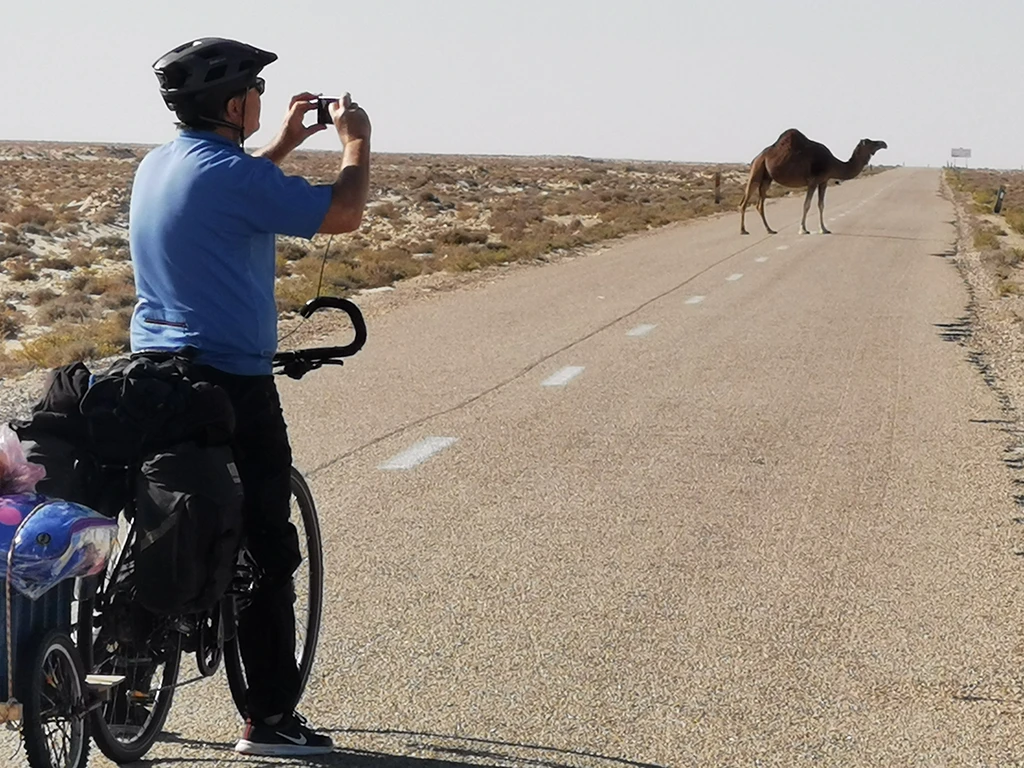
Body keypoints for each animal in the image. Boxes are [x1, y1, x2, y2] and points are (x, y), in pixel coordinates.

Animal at [739, 129, 887, 235]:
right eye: (870, 142)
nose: (884, 143)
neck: (832, 163)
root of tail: (756, 157)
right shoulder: (813, 181)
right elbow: (807, 205)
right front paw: (803, 229)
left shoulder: (824, 181)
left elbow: (821, 205)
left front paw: (824, 229)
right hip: (756, 171)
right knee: (745, 201)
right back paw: (743, 230)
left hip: (767, 178)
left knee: (759, 204)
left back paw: (770, 230)